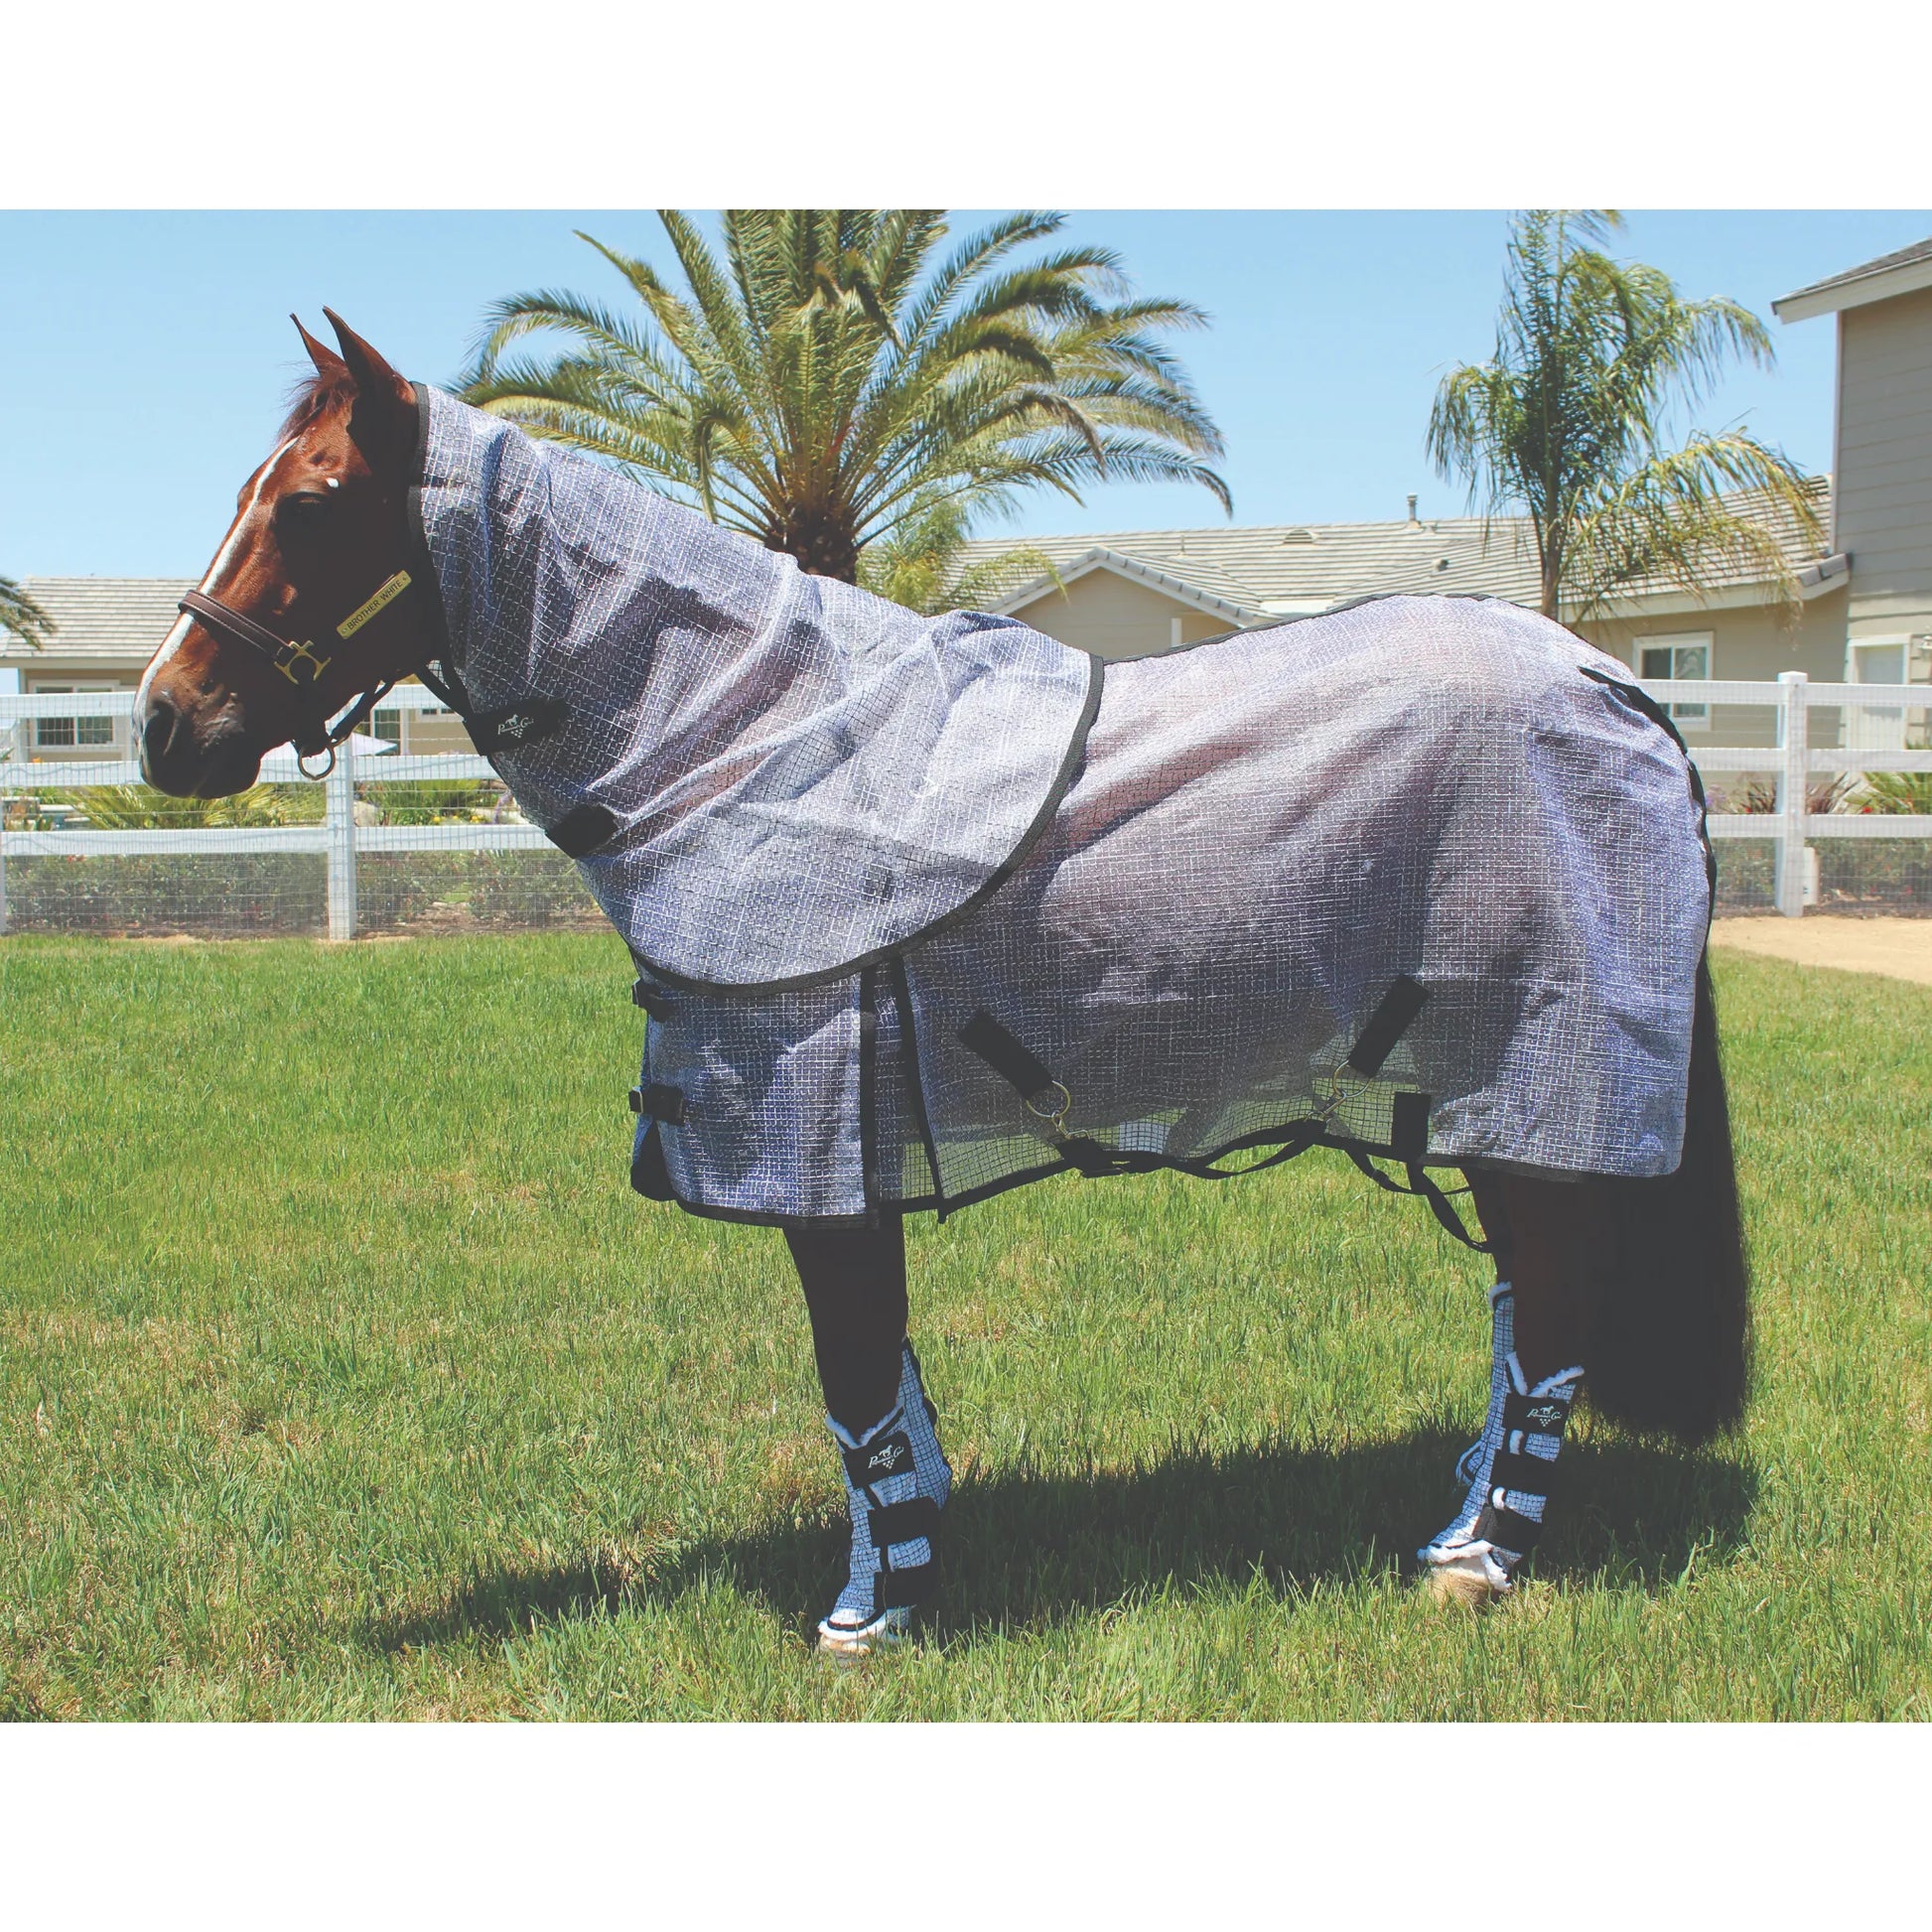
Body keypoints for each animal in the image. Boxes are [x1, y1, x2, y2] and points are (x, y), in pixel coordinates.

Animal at [134, 312, 1749, 1652]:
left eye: (312, 502)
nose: (163, 724)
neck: (758, 738)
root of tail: (1614, 686)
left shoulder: (813, 1138)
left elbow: (853, 1371)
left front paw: (873, 1612)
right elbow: (887, 1377)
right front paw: (916, 1544)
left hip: (1528, 1076)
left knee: (1553, 1304)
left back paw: (1477, 1559)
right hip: (1471, 1099)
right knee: (1526, 1293)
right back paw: (1465, 1507)